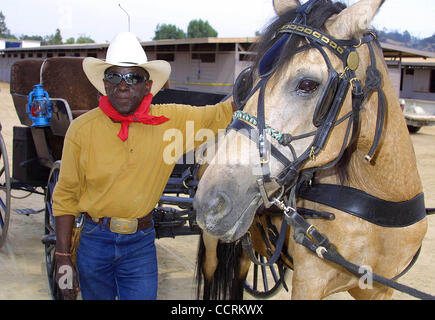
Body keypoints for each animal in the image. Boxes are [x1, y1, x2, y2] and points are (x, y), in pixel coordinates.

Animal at [193, 0, 430, 300]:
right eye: (246, 80)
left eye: (307, 84)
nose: (210, 201)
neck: (378, 203)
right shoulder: (309, 281)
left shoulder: (379, 288)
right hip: (213, 241)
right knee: (212, 270)